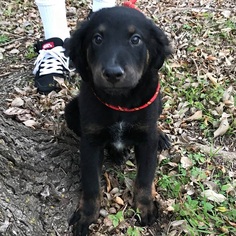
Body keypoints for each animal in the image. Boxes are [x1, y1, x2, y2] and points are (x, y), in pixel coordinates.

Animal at [65, 6, 171, 236]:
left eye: (135, 39)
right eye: (97, 38)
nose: (113, 74)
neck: (120, 101)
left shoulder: (145, 141)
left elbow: (145, 177)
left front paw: (144, 206)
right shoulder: (90, 143)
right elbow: (91, 184)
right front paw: (87, 215)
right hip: (70, 111)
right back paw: (117, 153)